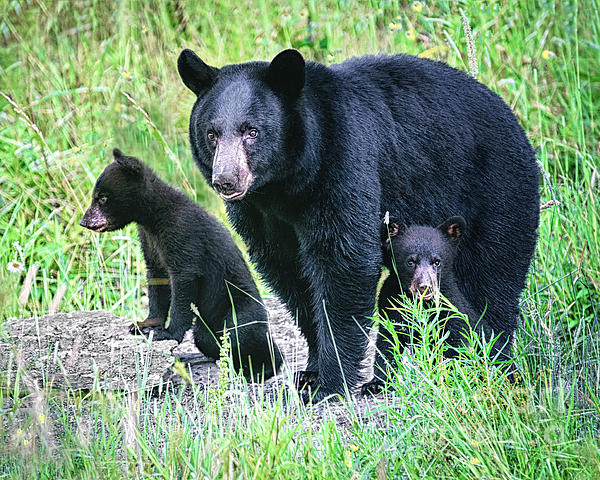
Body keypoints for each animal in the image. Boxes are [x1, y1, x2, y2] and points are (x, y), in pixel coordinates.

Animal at [79, 148, 284, 380]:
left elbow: (184, 281)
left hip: (238, 311)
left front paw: (167, 333)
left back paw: (260, 369)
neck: (153, 217)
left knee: (239, 335)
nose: (84, 221)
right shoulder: (149, 240)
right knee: (208, 340)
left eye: (102, 198)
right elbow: (157, 279)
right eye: (96, 196)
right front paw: (144, 324)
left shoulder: (182, 232)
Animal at [360, 217, 492, 394]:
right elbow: (387, 344)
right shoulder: (390, 306)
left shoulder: (451, 311)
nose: (425, 287)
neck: (421, 305)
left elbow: (457, 345)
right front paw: (375, 384)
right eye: (411, 261)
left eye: (437, 261)